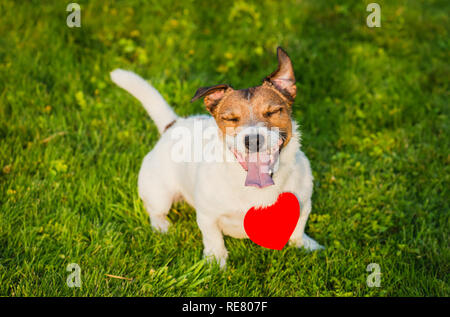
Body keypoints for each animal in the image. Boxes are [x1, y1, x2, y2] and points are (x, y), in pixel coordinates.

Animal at [112, 47, 324, 266]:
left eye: (273, 112)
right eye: (230, 118)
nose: (253, 140)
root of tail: (175, 124)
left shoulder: (303, 204)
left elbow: (298, 228)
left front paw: (304, 245)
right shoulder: (207, 215)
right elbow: (212, 237)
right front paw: (215, 260)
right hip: (159, 193)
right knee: (155, 211)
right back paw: (162, 226)